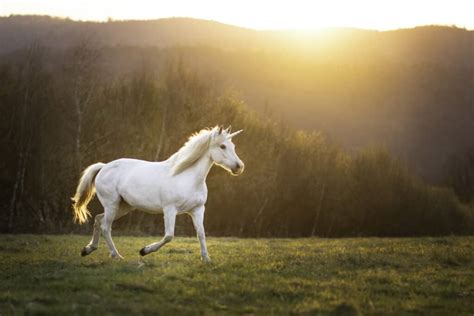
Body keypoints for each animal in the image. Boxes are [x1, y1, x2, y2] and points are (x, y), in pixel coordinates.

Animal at [73, 126, 248, 262]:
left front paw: (206, 259)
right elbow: (169, 236)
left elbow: (201, 234)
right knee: (105, 227)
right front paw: (144, 251)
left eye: (233, 146)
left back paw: (87, 249)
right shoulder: (170, 209)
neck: (186, 177)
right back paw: (116, 256)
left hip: (123, 207)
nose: (239, 167)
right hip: (112, 204)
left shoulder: (197, 210)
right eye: (222, 146)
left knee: (98, 219)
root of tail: (104, 167)